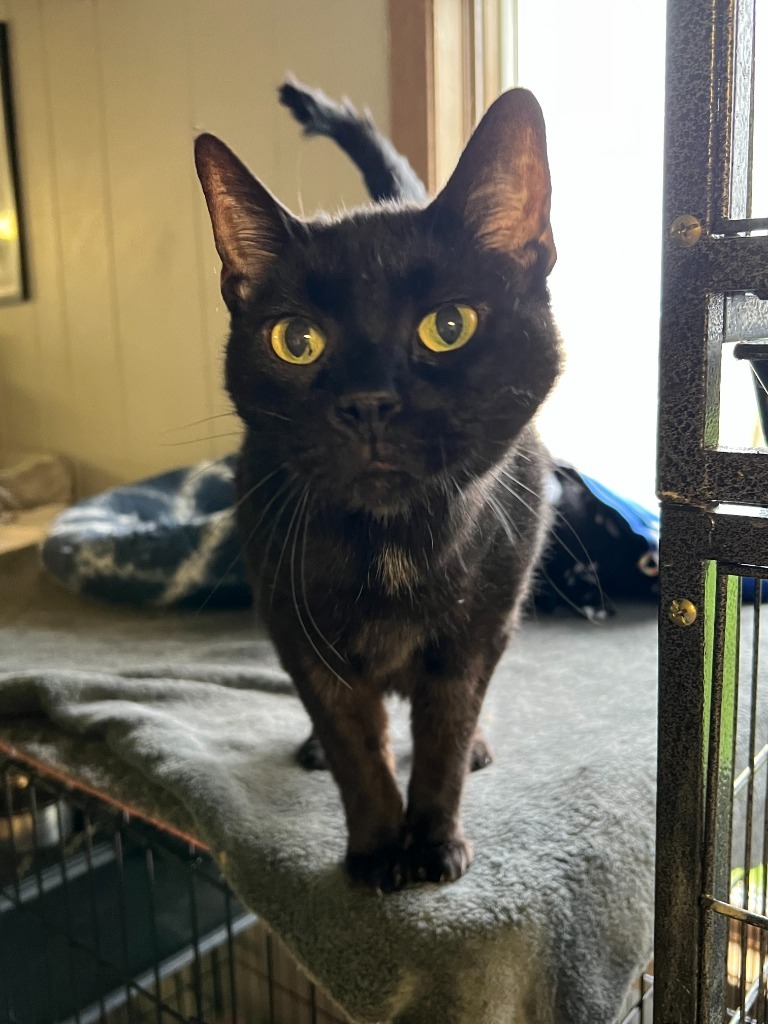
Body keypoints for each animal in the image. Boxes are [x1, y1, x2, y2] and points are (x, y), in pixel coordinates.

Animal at [195, 86, 561, 888]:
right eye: (295, 341)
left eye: (449, 326)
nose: (368, 402)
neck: (393, 547)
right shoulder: (300, 632)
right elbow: (355, 750)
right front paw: (373, 854)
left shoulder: (476, 634)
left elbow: (445, 738)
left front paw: (432, 844)